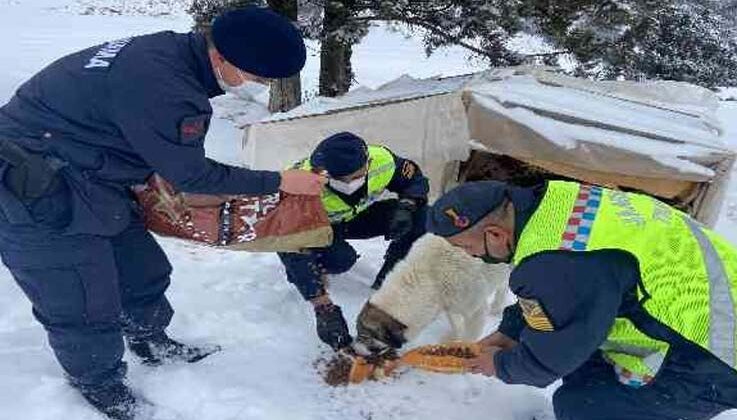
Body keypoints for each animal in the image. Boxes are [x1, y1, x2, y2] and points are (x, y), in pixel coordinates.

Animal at [354, 233, 508, 352]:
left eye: (365, 336)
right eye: (358, 332)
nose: (354, 350)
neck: (429, 276)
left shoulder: (475, 309)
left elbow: (469, 336)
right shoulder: (447, 303)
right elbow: (456, 324)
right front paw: (451, 338)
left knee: (503, 285)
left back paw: (497, 307)